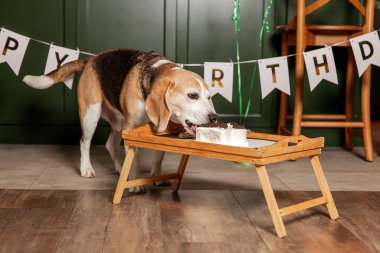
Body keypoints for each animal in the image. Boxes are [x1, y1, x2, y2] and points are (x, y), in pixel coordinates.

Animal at [23, 49, 217, 192]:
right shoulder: (131, 127)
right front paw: (136, 183)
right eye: (192, 95)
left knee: (110, 144)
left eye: (209, 97)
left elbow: (159, 156)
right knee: (84, 142)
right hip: (91, 114)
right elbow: (135, 158)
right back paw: (86, 168)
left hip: (117, 123)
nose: (214, 117)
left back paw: (120, 167)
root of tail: (93, 58)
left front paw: (156, 176)